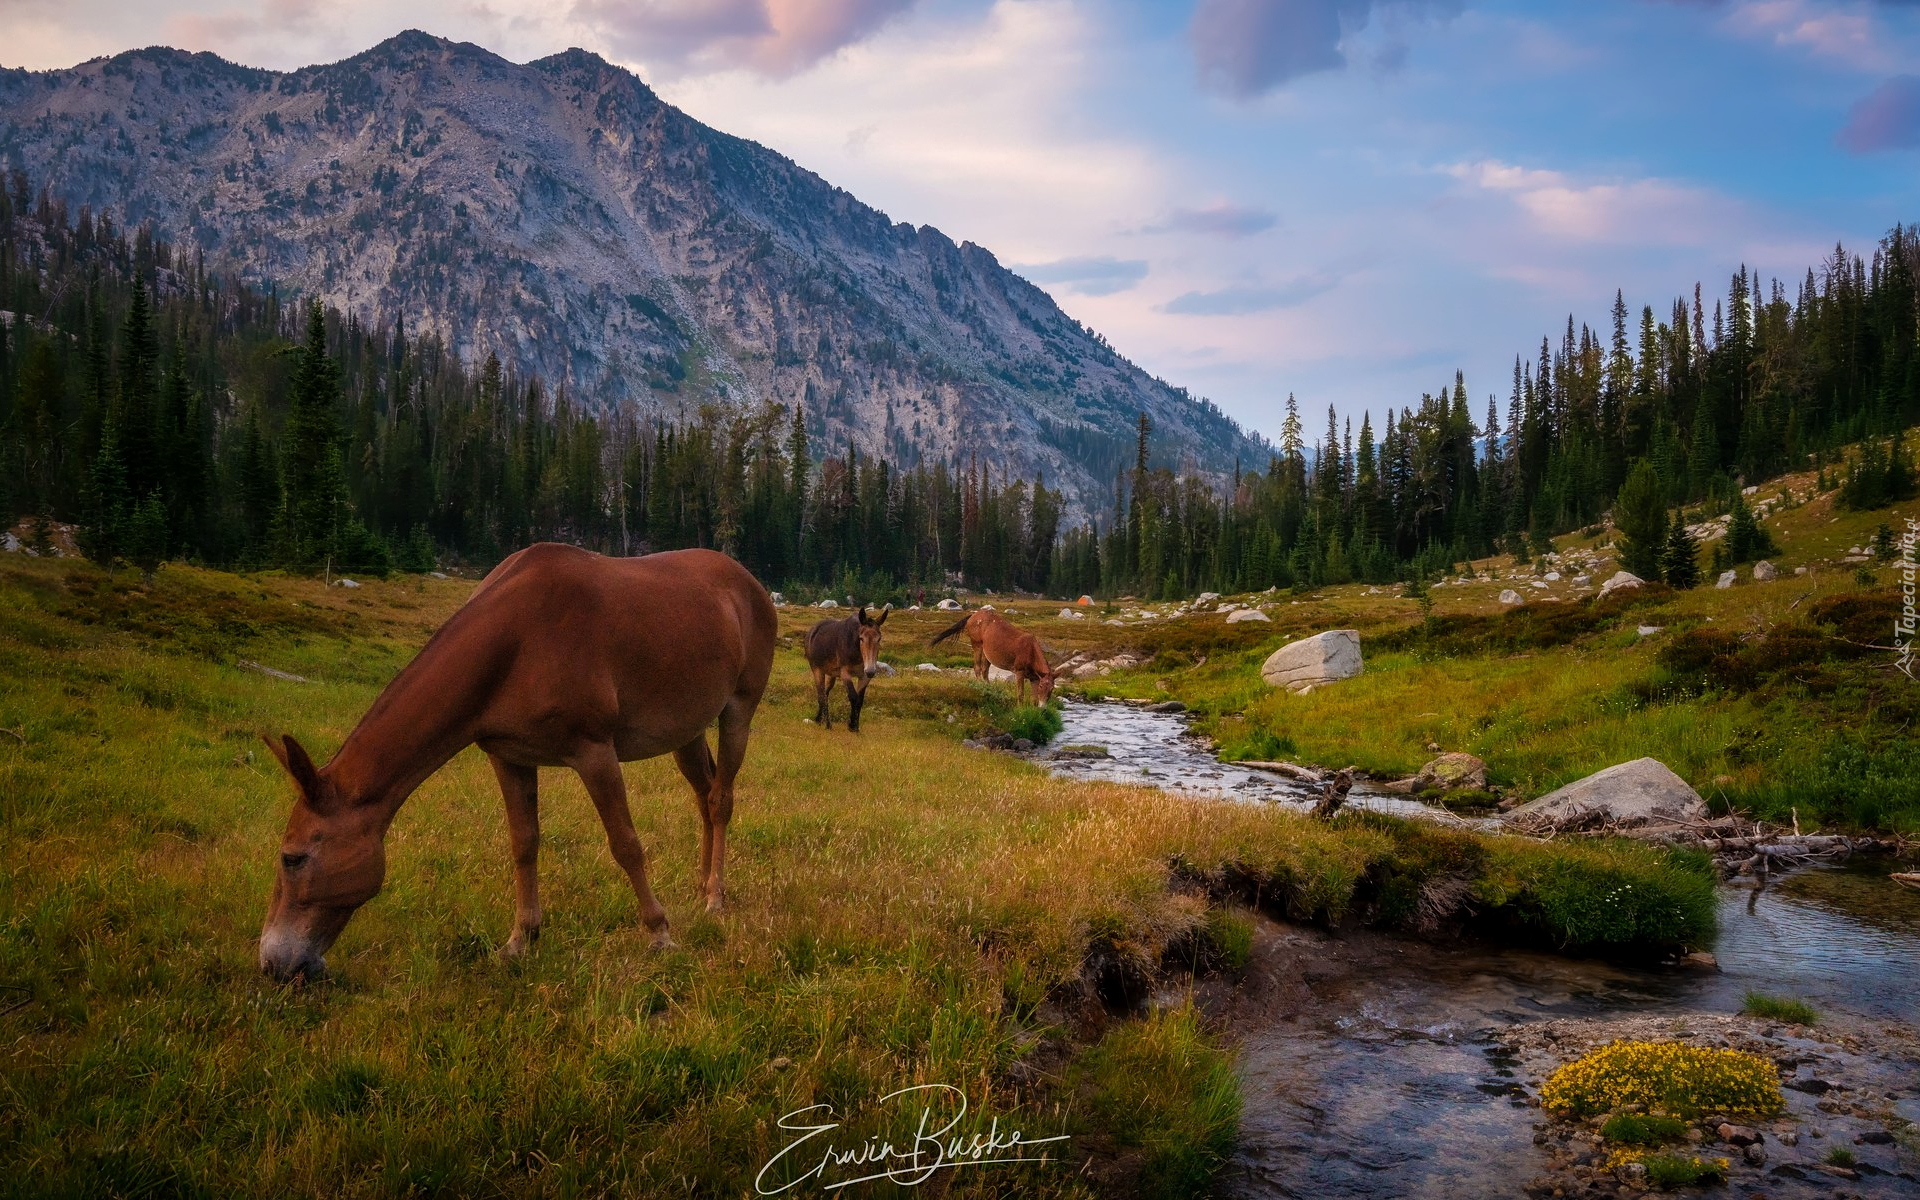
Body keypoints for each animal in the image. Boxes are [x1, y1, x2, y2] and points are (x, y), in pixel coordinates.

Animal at [259, 541, 775, 983]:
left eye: (293, 858)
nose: (272, 963)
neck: (515, 641)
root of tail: (750, 583)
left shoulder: (594, 752)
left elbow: (626, 844)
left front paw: (659, 933)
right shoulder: (508, 757)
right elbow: (524, 844)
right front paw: (521, 940)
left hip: (738, 711)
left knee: (721, 800)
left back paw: (715, 897)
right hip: (686, 731)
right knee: (704, 795)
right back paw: (701, 884)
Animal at [925, 606, 1059, 702]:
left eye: (1052, 689)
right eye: (1042, 686)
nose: (1043, 708)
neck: (1032, 655)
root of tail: (972, 616)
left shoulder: (1034, 677)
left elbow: (1034, 699)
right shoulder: (1019, 671)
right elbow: (1020, 695)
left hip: (986, 652)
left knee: (985, 670)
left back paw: (990, 688)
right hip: (977, 644)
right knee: (977, 667)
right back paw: (981, 686)